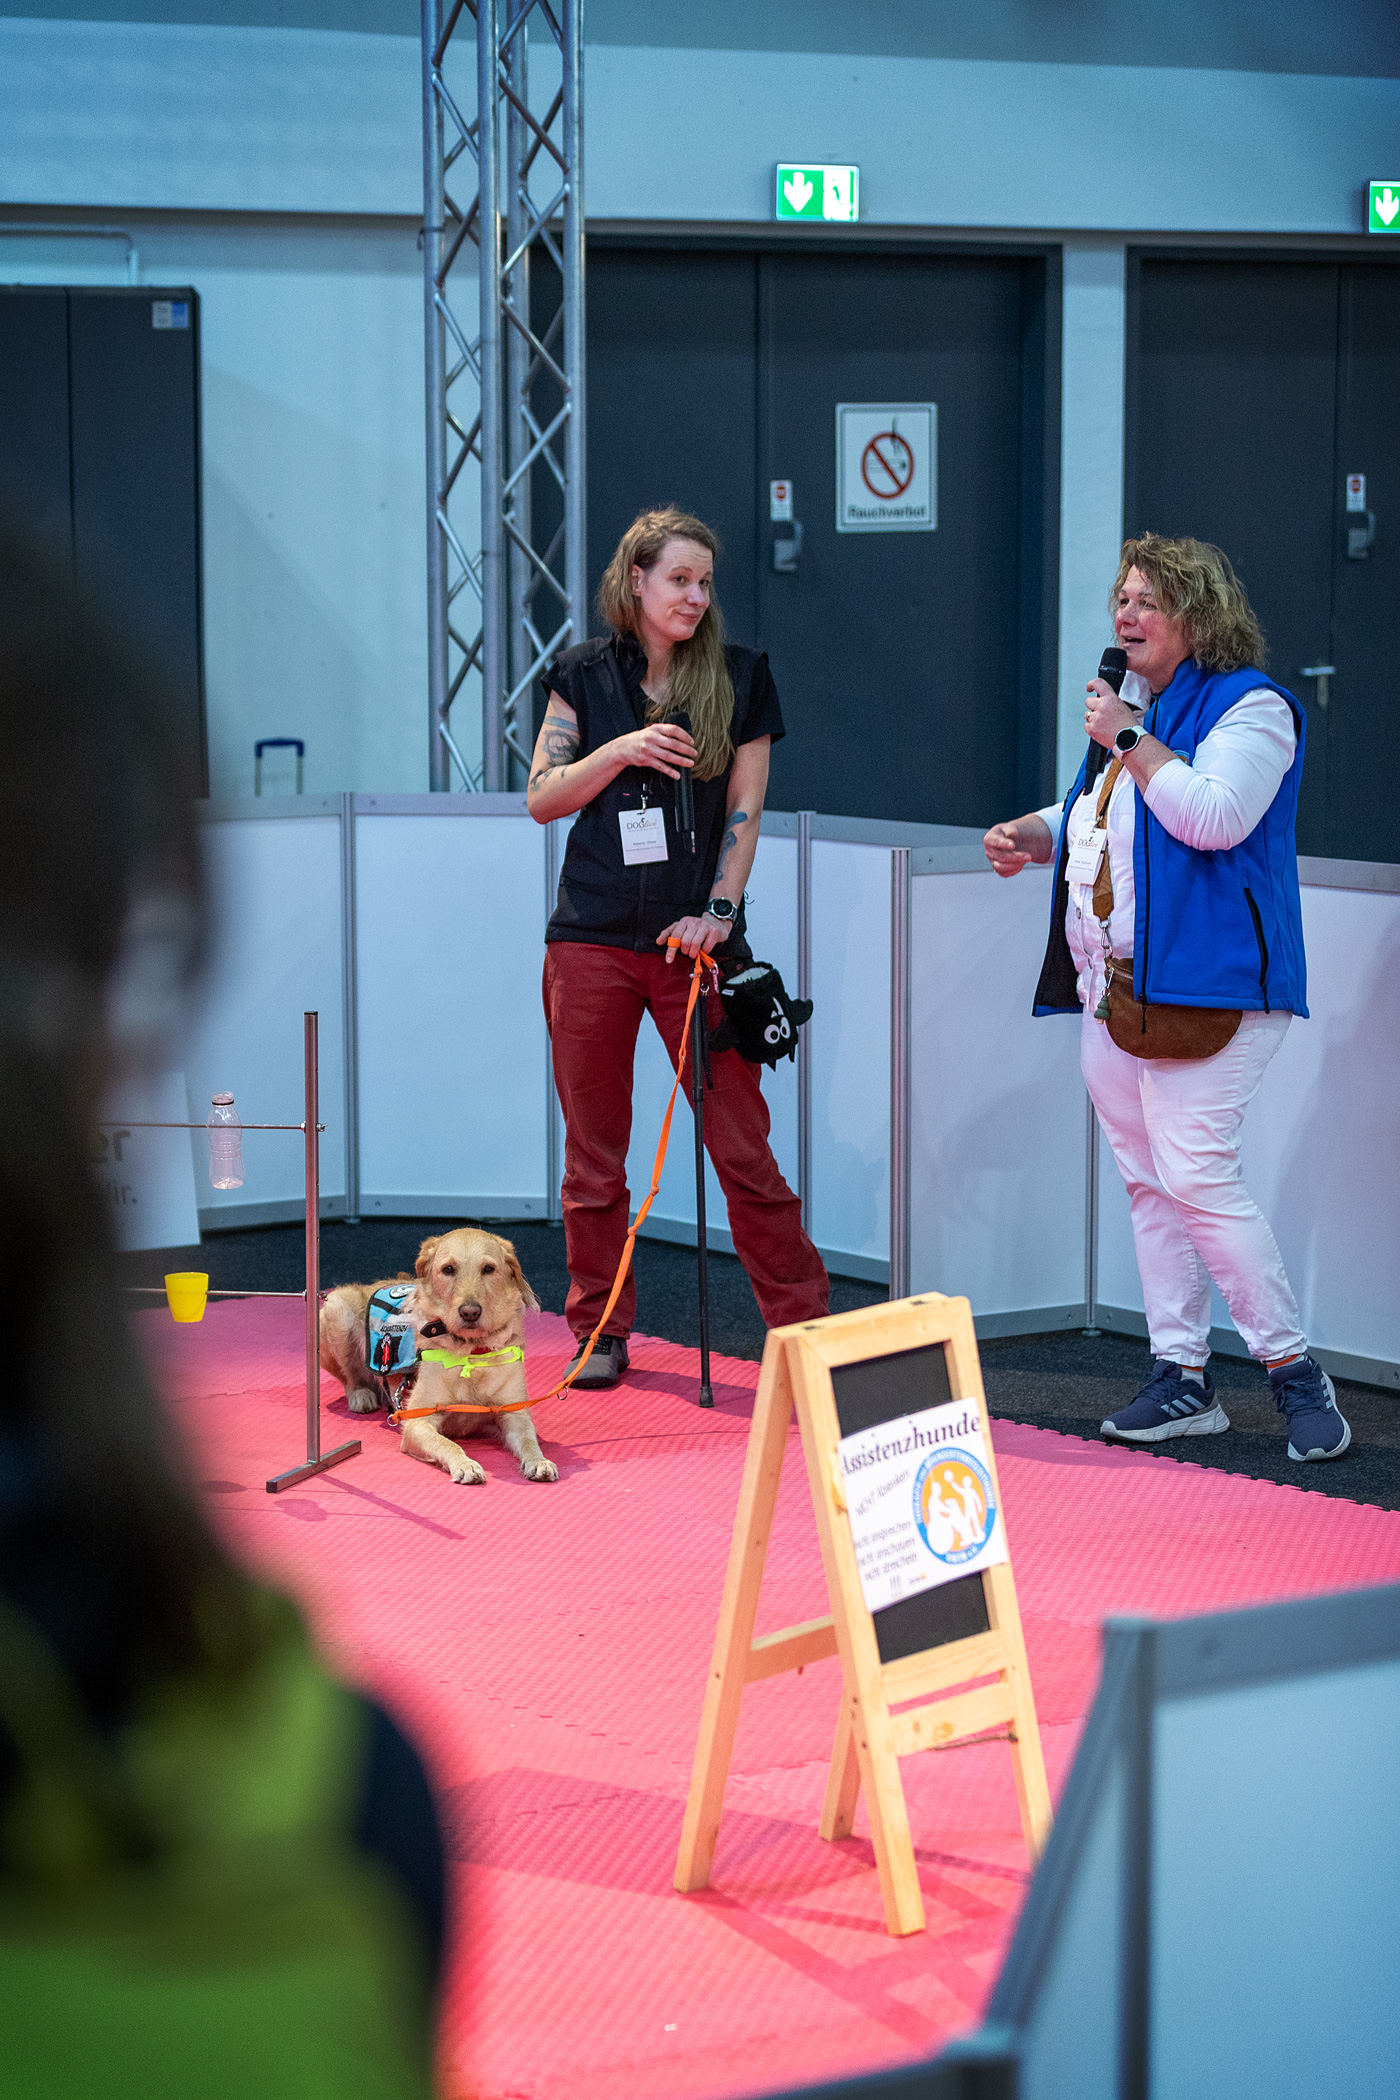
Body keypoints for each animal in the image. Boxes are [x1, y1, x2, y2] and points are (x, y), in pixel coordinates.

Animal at [318, 1227, 558, 1486]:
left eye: (489, 1269)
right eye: (448, 1269)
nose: (470, 1312)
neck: (471, 1353)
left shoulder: (515, 1412)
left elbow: (529, 1440)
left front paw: (539, 1461)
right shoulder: (417, 1421)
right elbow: (447, 1444)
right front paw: (465, 1464)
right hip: (336, 1307)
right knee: (351, 1377)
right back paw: (361, 1396)